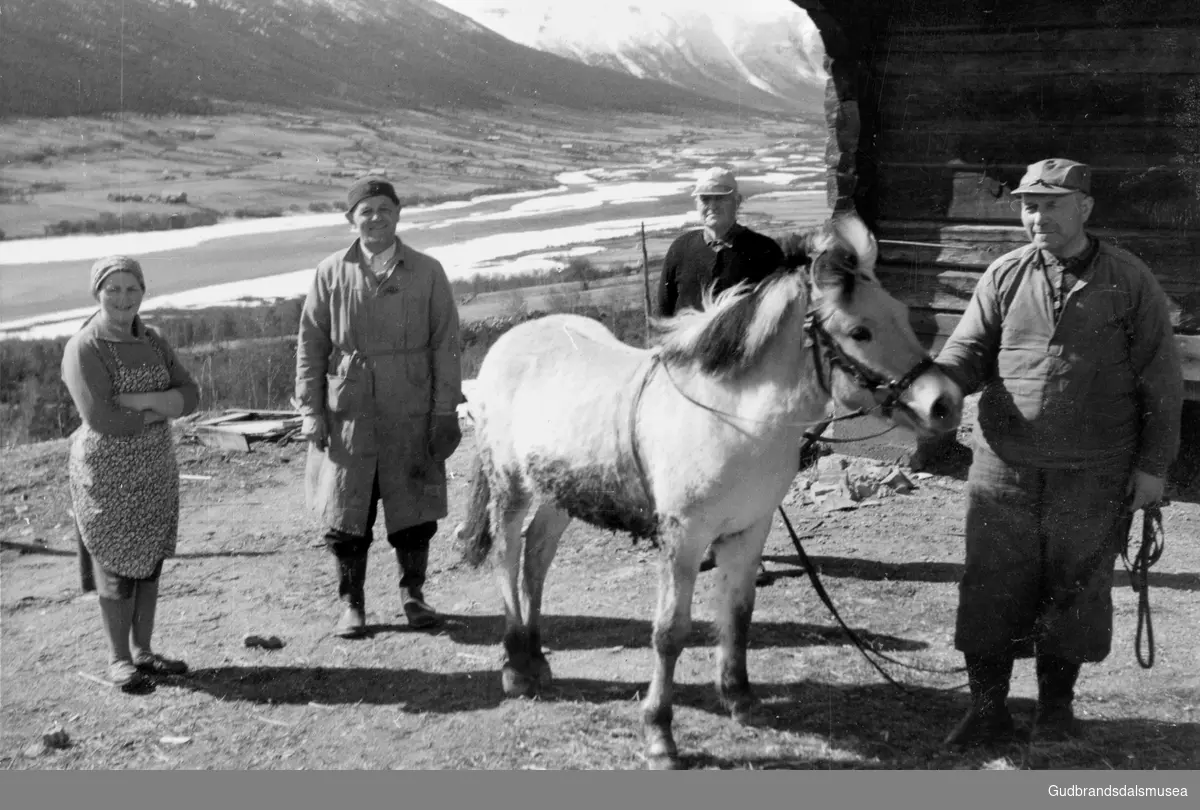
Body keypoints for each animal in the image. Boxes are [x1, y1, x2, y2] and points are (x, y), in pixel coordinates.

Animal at [458, 212, 964, 768]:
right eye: (859, 330)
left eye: (901, 313)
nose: (945, 403)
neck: (730, 417)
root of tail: (508, 343)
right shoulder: (684, 538)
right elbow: (669, 633)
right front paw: (659, 734)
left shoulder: (749, 530)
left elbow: (739, 613)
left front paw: (739, 698)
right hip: (512, 487)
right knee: (508, 556)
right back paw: (515, 667)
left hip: (560, 494)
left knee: (535, 558)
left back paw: (536, 657)